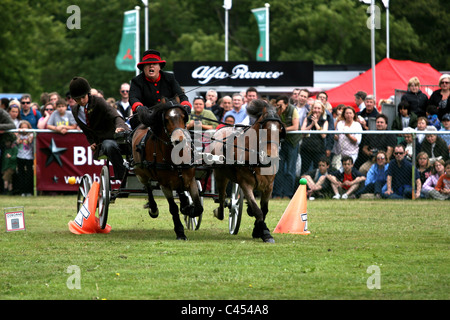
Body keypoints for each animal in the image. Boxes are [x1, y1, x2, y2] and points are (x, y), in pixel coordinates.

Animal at [132, 101, 202, 239]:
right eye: (167, 119)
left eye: (183, 117)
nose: (179, 140)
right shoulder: (164, 185)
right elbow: (173, 208)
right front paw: (180, 232)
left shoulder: (191, 180)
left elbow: (198, 206)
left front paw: (188, 209)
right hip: (141, 174)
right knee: (148, 188)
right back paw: (153, 209)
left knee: (180, 190)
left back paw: (185, 203)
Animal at [210, 100, 284, 242]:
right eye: (264, 128)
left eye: (280, 129)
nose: (271, 156)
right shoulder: (245, 184)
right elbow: (257, 210)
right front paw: (265, 232)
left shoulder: (269, 186)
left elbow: (264, 210)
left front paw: (258, 230)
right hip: (220, 176)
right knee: (222, 198)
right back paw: (219, 211)